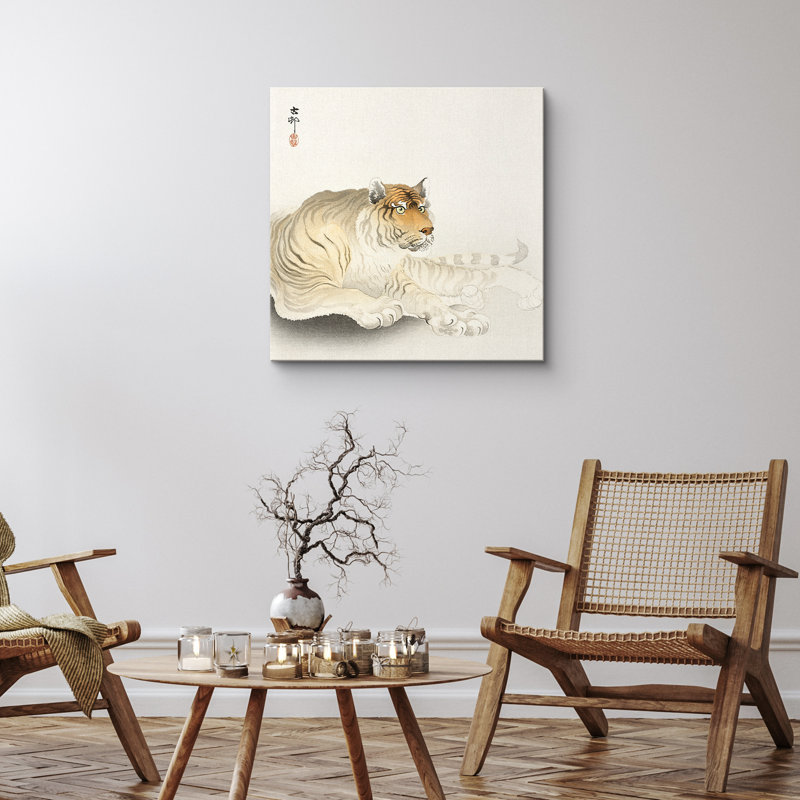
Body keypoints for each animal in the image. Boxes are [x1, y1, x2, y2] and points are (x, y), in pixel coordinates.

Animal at [270, 178, 542, 336]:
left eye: (421, 207)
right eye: (400, 209)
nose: (429, 229)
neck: (371, 251)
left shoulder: (394, 282)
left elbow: (426, 297)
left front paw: (457, 319)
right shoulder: (304, 289)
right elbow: (346, 293)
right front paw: (383, 309)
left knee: (490, 273)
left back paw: (527, 293)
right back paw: (472, 299)